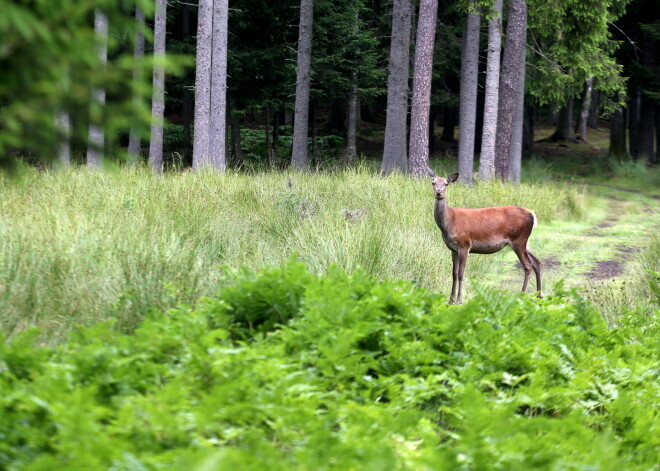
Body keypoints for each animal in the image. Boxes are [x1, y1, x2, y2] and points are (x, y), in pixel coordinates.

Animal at [428, 170, 540, 306]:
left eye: (446, 183)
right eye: (433, 182)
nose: (439, 192)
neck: (449, 223)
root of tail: (532, 214)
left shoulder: (465, 244)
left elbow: (461, 273)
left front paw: (459, 300)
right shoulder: (452, 248)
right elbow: (454, 274)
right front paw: (450, 300)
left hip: (519, 240)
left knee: (528, 266)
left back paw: (521, 295)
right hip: (525, 243)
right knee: (537, 262)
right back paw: (539, 295)